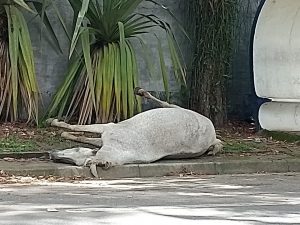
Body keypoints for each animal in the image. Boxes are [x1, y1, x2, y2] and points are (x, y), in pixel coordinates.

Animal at [48, 88, 223, 178]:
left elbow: (77, 128)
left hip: (182, 111)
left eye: (74, 162)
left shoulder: (108, 127)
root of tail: (212, 135)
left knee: (168, 104)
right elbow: (83, 136)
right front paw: (62, 132)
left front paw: (54, 123)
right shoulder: (104, 137)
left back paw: (142, 92)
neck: (122, 149)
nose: (51, 154)